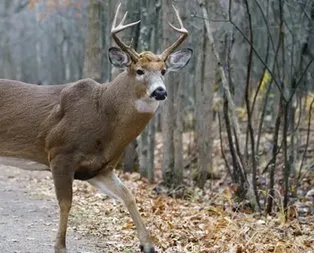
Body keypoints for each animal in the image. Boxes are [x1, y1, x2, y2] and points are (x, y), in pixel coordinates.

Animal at [0, 3, 191, 253]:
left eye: (164, 71)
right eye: (139, 70)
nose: (160, 91)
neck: (102, 116)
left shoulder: (99, 169)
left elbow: (128, 195)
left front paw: (148, 245)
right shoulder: (59, 153)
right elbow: (65, 203)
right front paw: (60, 246)